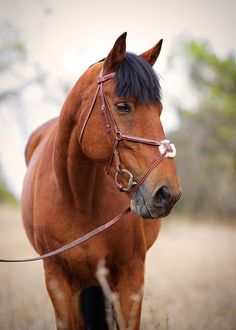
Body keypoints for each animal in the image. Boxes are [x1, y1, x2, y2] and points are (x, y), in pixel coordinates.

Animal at [21, 31, 182, 330]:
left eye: (160, 109)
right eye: (123, 106)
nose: (167, 193)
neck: (77, 198)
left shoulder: (131, 278)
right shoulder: (58, 283)